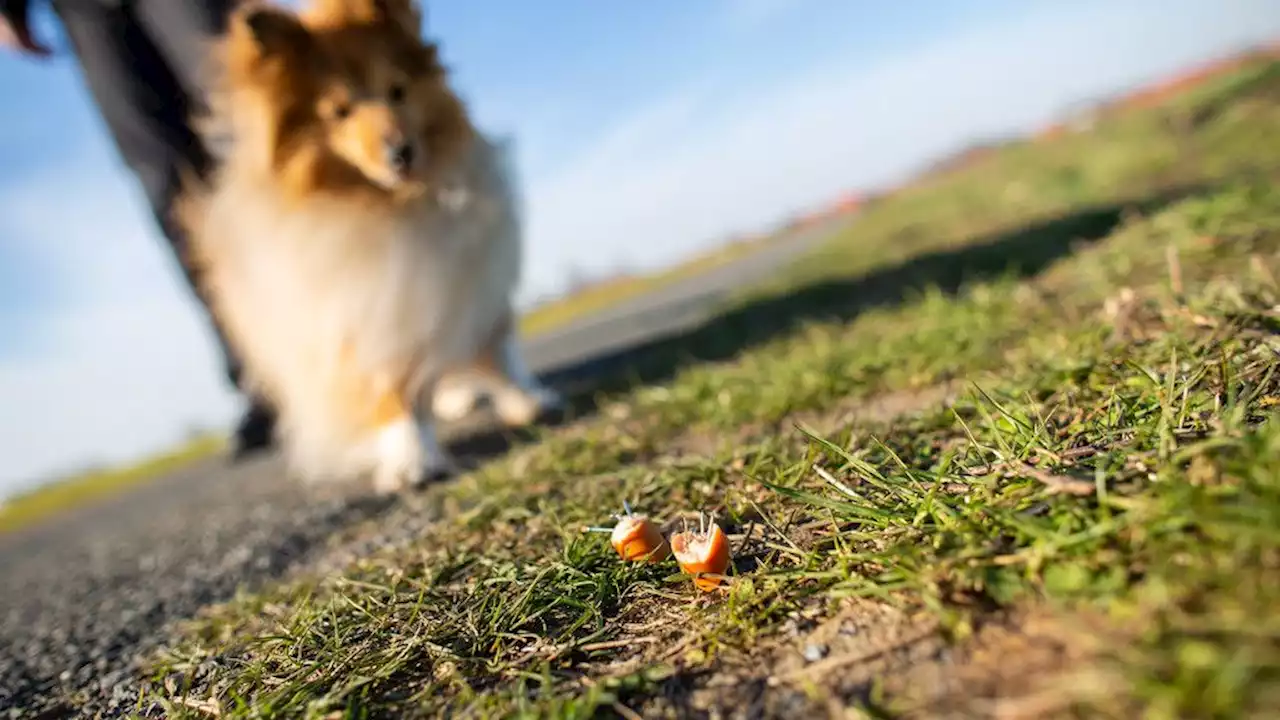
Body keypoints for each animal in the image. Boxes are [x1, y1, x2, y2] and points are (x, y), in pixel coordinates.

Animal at [180, 0, 560, 489]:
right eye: (339, 111)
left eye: (397, 90)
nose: (402, 153)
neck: (395, 204)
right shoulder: (359, 310)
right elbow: (387, 386)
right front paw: (411, 458)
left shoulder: (472, 275)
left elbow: (497, 340)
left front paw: (527, 398)